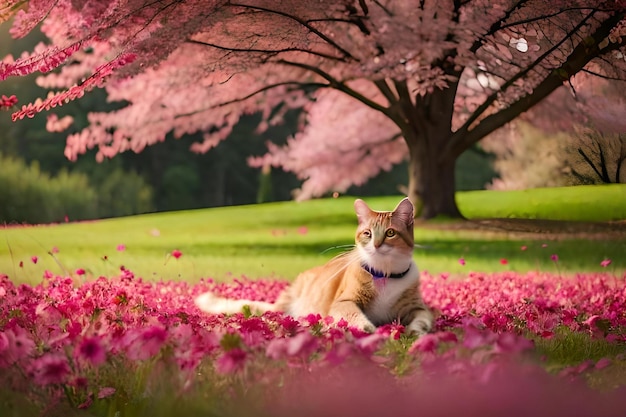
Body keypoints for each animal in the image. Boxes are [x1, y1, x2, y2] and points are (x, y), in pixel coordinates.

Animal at [193, 197, 432, 334]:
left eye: (390, 233)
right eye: (368, 233)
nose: (376, 244)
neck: (384, 274)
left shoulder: (417, 307)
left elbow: (425, 319)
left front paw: (415, 331)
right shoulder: (343, 301)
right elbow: (355, 315)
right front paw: (369, 330)